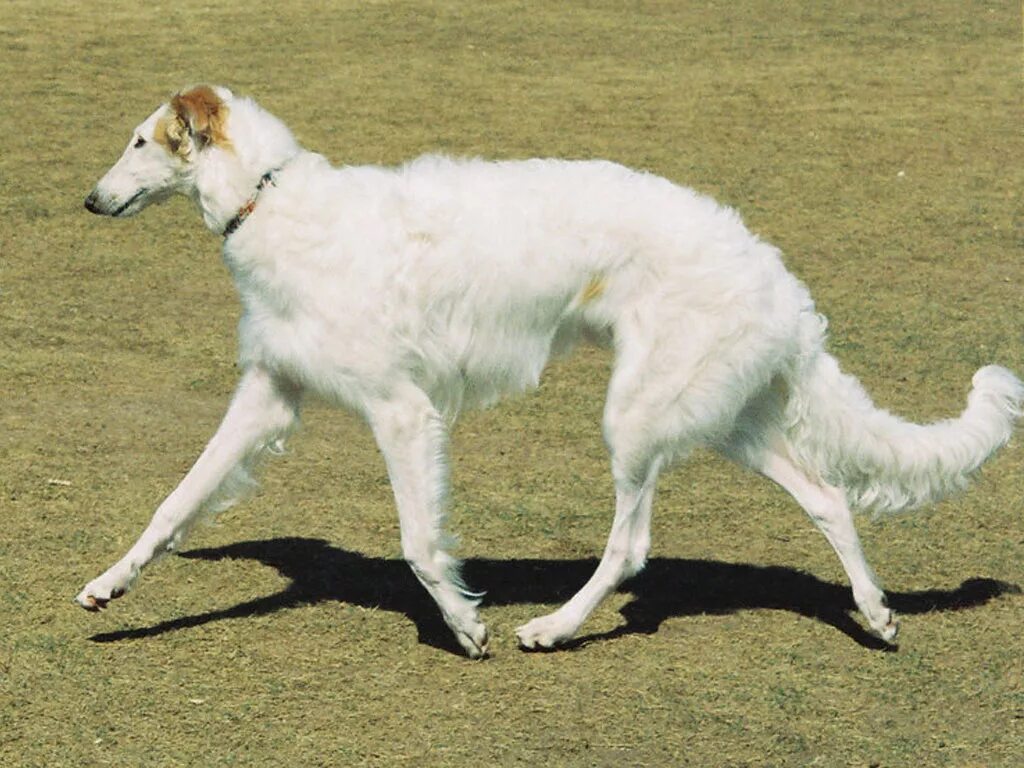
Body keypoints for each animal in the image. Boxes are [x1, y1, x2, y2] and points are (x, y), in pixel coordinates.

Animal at [79, 87, 1024, 659]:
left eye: (139, 140)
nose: (89, 200)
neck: (272, 200)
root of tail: (772, 272)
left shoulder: (401, 410)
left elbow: (419, 544)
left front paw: (466, 625)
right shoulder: (272, 393)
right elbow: (173, 503)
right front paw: (106, 586)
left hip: (637, 418)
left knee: (632, 546)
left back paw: (556, 627)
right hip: (725, 419)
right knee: (828, 497)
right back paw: (878, 614)